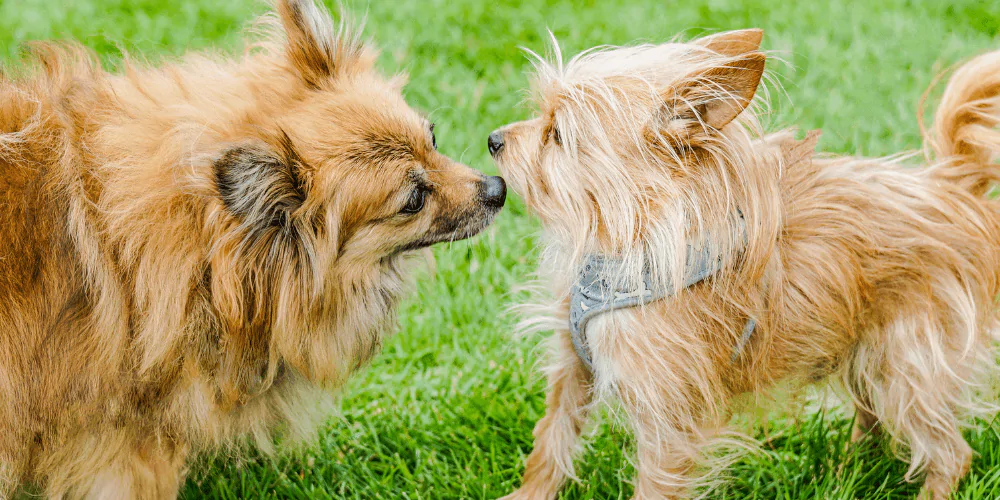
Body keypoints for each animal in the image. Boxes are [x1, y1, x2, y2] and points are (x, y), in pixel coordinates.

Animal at [488, 29, 1000, 498]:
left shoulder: (670, 417)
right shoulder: (574, 369)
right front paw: (527, 495)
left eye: (556, 136)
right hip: (868, 353)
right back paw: (848, 469)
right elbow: (550, 445)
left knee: (950, 452)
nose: (493, 139)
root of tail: (950, 186)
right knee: (872, 418)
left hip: (908, 366)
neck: (628, 246)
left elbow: (652, 483)